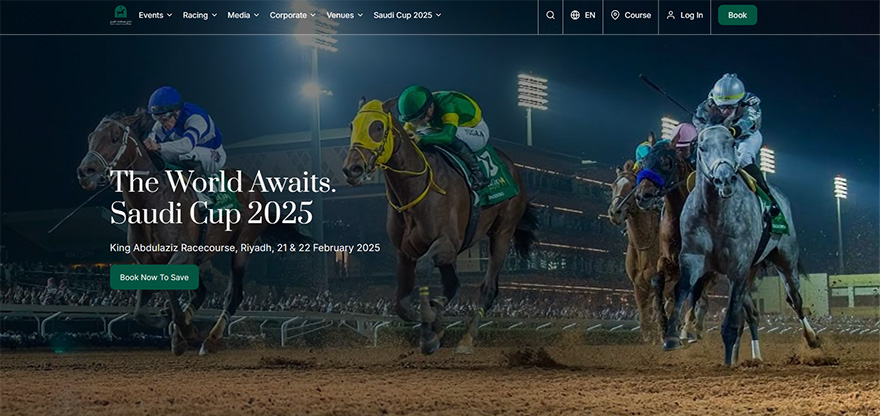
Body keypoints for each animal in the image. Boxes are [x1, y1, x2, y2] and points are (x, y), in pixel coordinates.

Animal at [76, 108, 311, 356]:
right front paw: (171, 323)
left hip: (242, 244)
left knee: (233, 295)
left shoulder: (183, 254)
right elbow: (139, 310)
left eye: (114, 138)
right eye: (90, 137)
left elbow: (168, 288)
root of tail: (254, 187)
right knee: (201, 293)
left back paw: (211, 339)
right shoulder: (147, 261)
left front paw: (183, 329)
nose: (85, 172)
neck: (152, 201)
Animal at [341, 99, 537, 355]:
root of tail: (512, 166)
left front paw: (429, 332)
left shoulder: (447, 244)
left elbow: (424, 269)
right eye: (352, 126)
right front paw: (435, 325)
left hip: (502, 232)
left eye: (377, 127)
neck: (415, 189)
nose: (352, 169)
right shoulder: (406, 252)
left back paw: (466, 339)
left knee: (488, 288)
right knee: (453, 283)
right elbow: (402, 306)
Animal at [669, 124, 820, 365]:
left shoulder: (737, 265)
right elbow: (687, 291)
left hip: (785, 259)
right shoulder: (695, 258)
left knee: (794, 298)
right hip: (751, 271)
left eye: (732, 143)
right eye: (701, 147)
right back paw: (748, 356)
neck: (715, 213)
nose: (724, 180)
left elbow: (730, 316)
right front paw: (681, 334)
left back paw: (811, 337)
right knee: (751, 313)